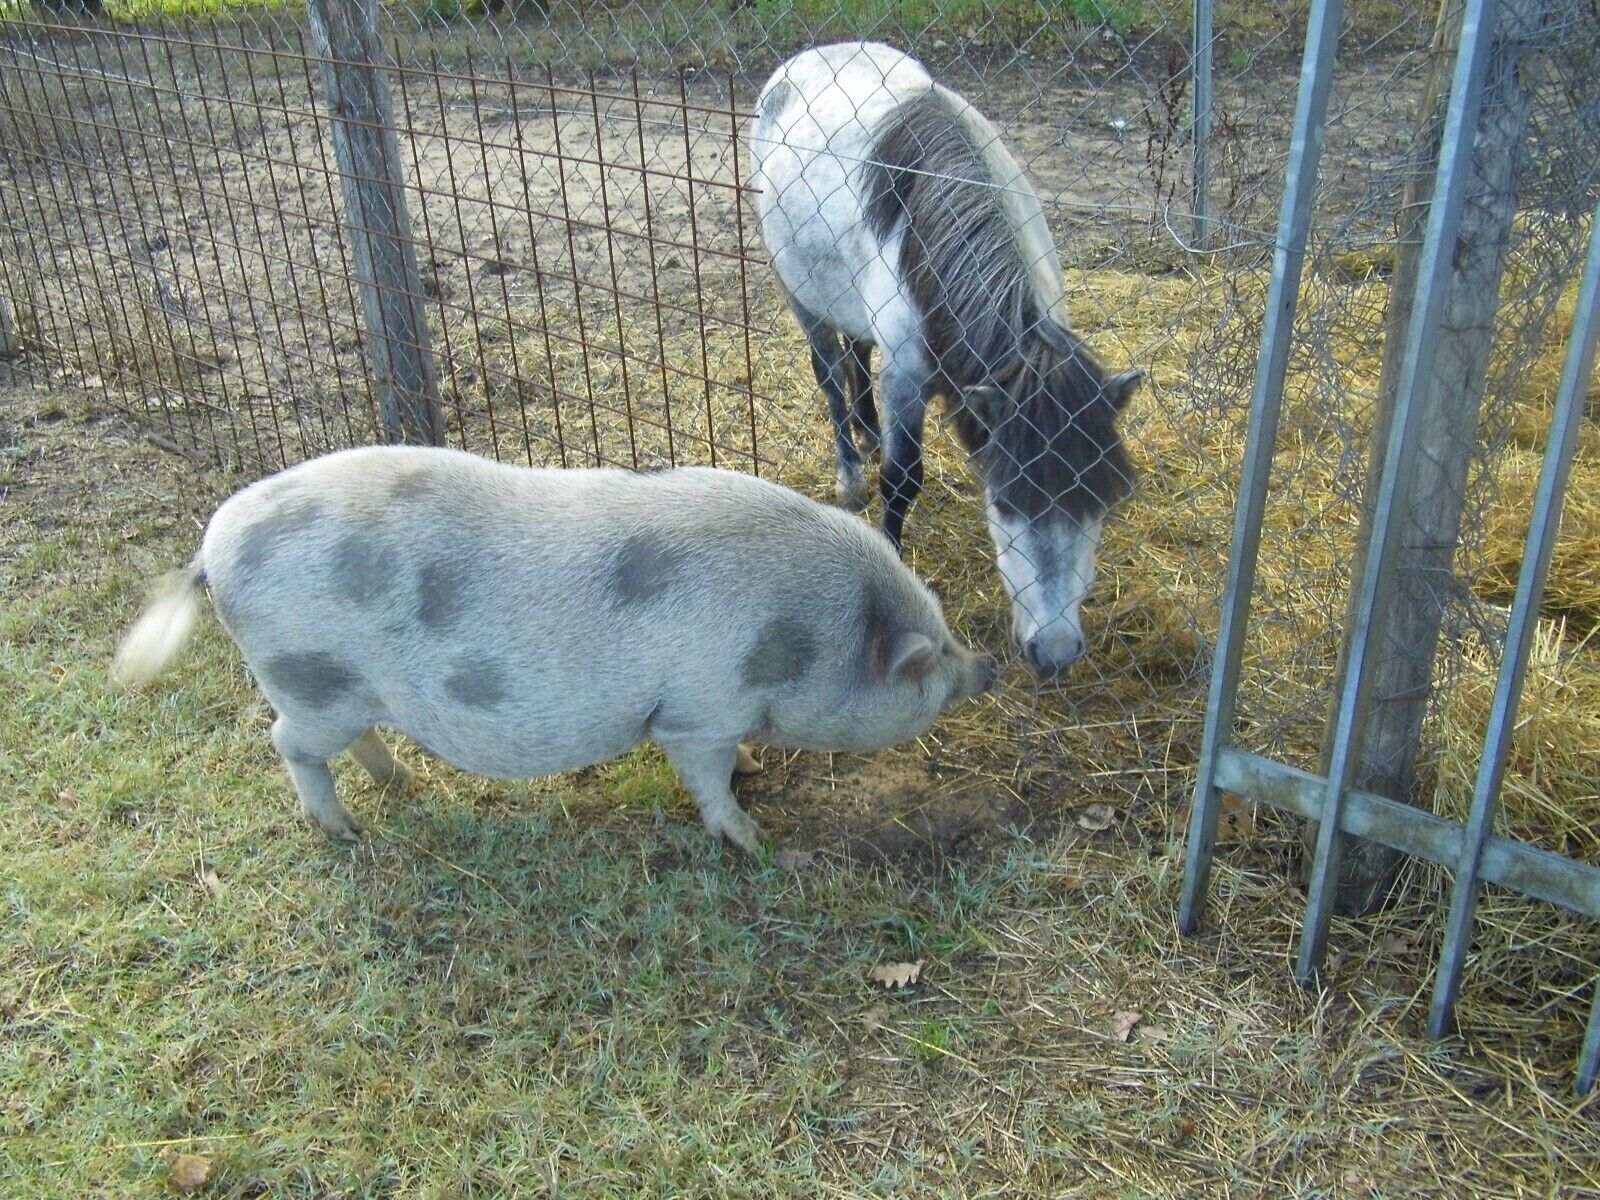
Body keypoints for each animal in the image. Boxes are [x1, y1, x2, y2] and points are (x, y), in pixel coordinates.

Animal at [113, 446, 998, 853]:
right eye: (926, 663)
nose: (987, 666)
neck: (799, 638)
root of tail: (212, 548)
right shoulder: (697, 711)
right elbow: (708, 780)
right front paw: (754, 837)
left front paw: (754, 773)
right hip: (305, 677)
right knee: (286, 743)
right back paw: (345, 831)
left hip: (341, 690)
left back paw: (401, 785)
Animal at [750, 42, 1142, 675]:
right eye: (1004, 502)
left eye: (1099, 500)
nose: (1056, 654)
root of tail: (807, 59)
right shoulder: (906, 377)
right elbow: (903, 478)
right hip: (802, 295)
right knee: (830, 373)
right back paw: (850, 472)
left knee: (858, 352)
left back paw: (867, 431)